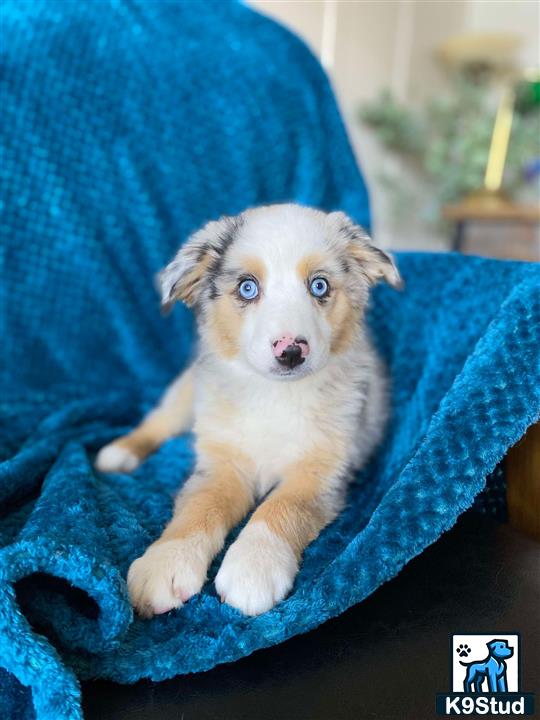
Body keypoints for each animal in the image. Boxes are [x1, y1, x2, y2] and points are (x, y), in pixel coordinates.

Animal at [96, 205, 400, 616]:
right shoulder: (223, 463)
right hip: (185, 392)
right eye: (247, 287)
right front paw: (165, 563)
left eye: (319, 286)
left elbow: (280, 507)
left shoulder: (320, 473)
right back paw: (120, 453)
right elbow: (198, 508)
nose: (291, 351)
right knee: (158, 422)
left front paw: (253, 567)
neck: (275, 395)